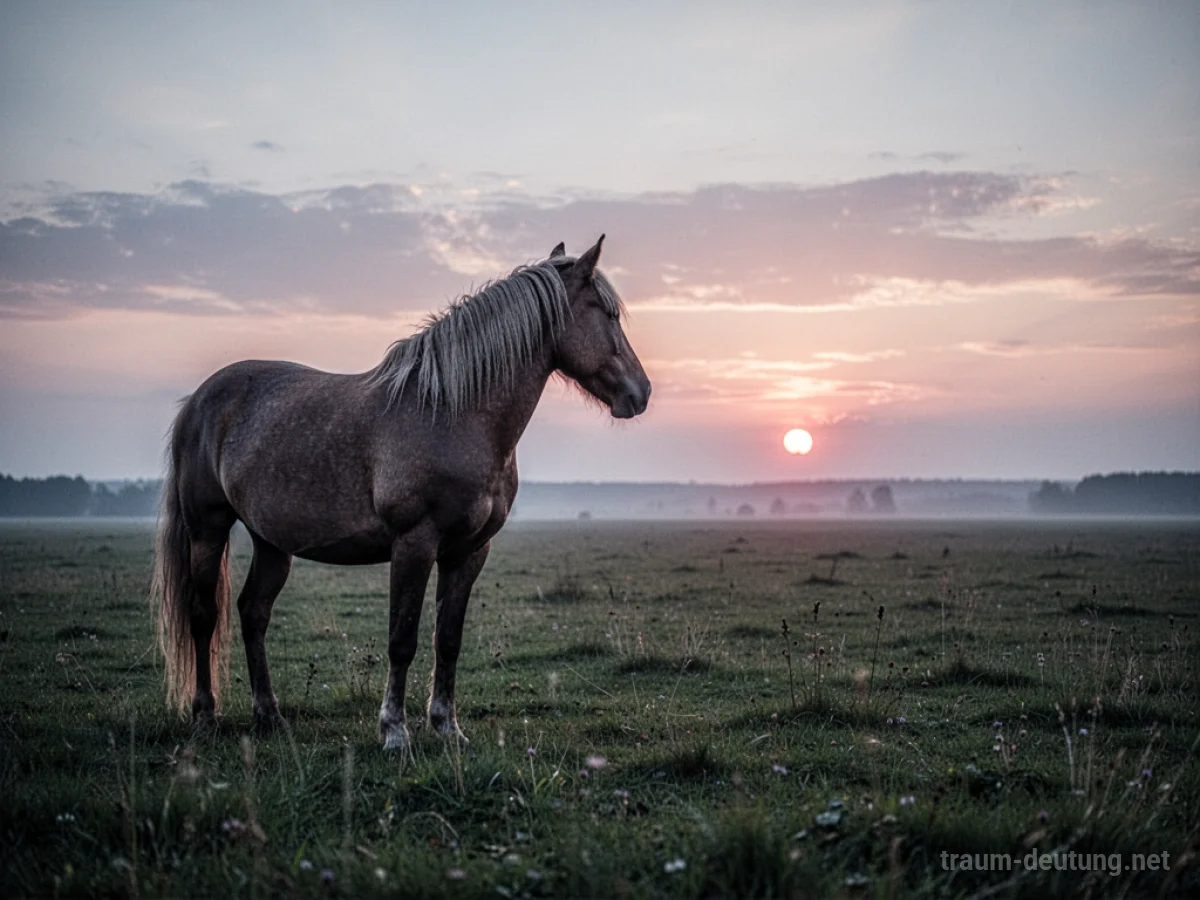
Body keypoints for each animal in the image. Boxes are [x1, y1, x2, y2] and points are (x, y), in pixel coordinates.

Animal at [151, 236, 650, 751]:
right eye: (608, 314)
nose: (641, 393)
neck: (453, 412)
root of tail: (199, 400)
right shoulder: (415, 543)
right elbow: (402, 639)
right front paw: (394, 732)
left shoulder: (469, 551)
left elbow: (447, 639)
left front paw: (447, 727)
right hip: (207, 530)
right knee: (203, 615)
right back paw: (205, 715)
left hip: (272, 542)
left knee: (253, 613)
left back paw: (269, 716)